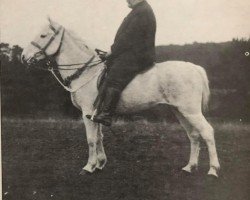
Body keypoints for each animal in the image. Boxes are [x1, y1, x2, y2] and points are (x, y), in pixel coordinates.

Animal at [22, 19, 221, 177]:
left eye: (42, 35)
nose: (24, 57)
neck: (87, 71)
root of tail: (194, 68)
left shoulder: (87, 113)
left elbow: (91, 139)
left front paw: (88, 167)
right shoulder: (95, 114)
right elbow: (99, 137)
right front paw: (100, 164)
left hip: (190, 111)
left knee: (207, 132)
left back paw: (213, 169)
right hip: (180, 111)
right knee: (193, 135)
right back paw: (189, 167)